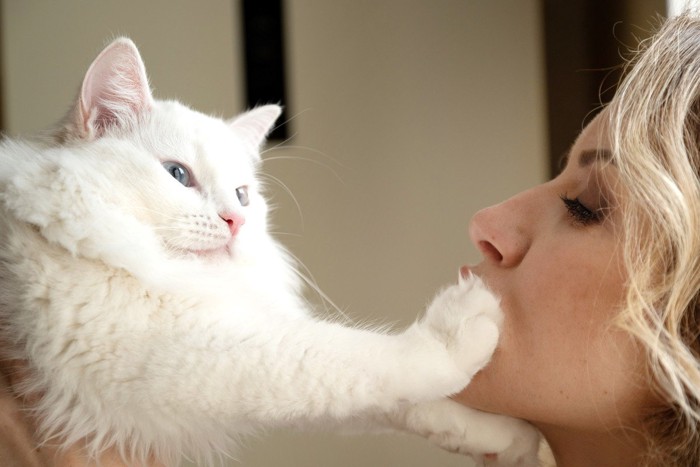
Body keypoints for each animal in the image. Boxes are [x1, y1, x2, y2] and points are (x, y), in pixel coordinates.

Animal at [0, 38, 540, 466]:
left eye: (242, 196)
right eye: (177, 175)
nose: (235, 223)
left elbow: (402, 400)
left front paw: (505, 438)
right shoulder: (189, 351)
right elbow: (370, 357)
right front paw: (462, 327)